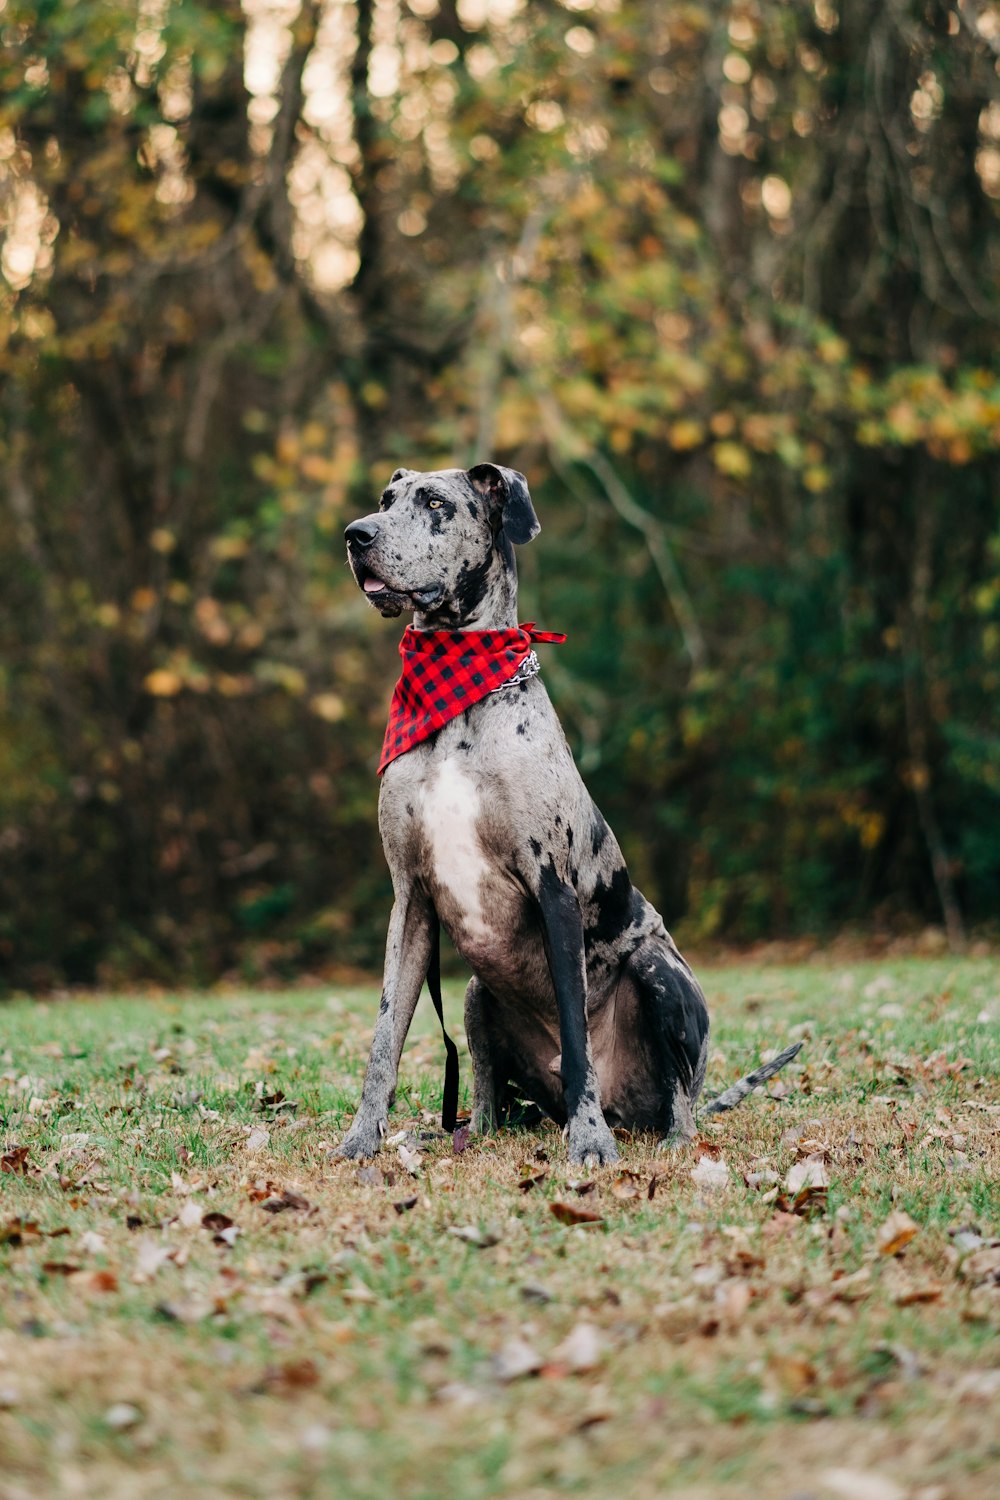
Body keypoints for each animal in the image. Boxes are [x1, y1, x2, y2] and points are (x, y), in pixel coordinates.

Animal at [340, 462, 803, 1164]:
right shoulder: (411, 897)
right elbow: (386, 1034)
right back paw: (470, 1133)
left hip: (659, 972)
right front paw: (363, 1137)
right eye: (386, 499)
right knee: (487, 1094)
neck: (461, 699)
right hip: (475, 994)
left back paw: (666, 1138)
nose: (356, 534)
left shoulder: (552, 887)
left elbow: (578, 1038)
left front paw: (589, 1146)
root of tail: (629, 1108)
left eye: (437, 503)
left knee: (681, 1092)